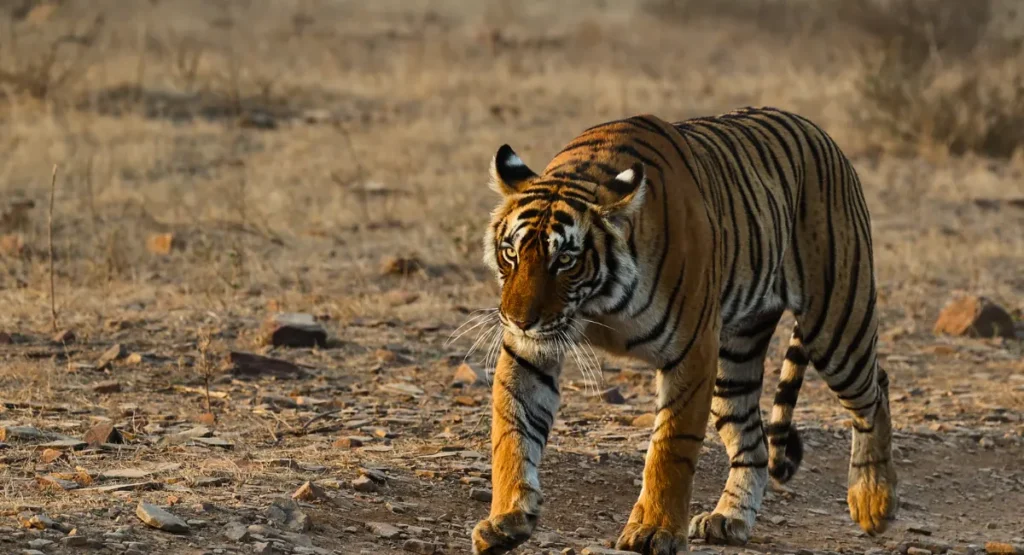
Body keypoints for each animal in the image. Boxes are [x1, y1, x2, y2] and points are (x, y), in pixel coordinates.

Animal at [470, 107, 898, 555]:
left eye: (565, 261)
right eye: (511, 253)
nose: (518, 321)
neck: (598, 303)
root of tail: (819, 132)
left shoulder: (691, 351)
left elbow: (671, 447)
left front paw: (655, 531)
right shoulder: (528, 353)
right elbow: (512, 433)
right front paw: (506, 520)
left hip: (837, 325)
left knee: (874, 391)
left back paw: (874, 502)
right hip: (734, 361)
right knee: (752, 442)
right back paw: (729, 520)